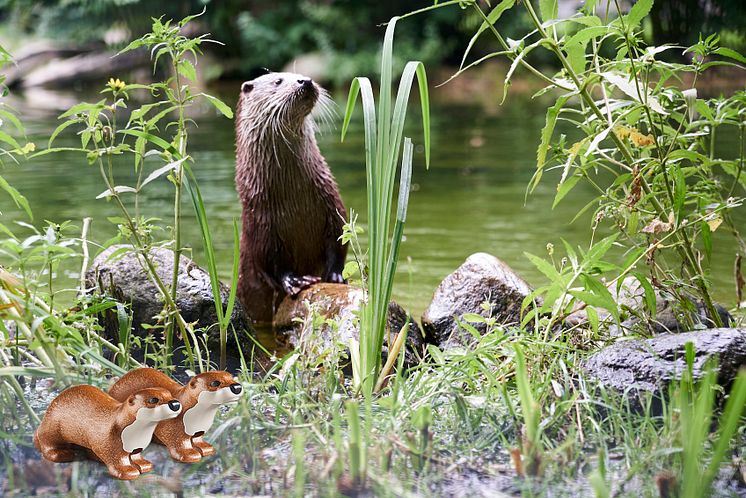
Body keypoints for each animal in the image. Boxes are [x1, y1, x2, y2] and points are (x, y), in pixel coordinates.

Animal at [234, 72, 348, 324]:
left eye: (300, 75)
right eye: (278, 81)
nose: (305, 81)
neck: (295, 200)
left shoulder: (332, 202)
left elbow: (339, 240)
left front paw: (335, 276)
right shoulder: (260, 221)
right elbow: (269, 262)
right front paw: (296, 280)